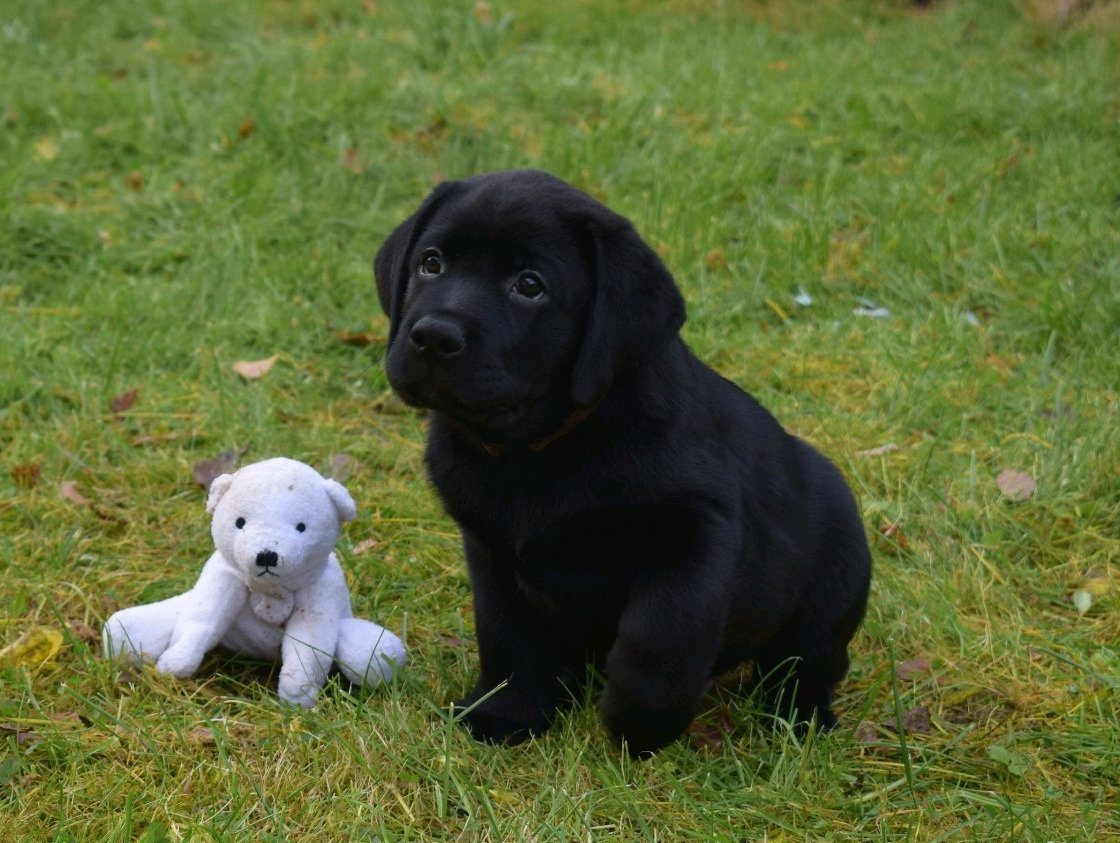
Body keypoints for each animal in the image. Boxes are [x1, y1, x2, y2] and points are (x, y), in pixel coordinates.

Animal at [371, 167, 869, 752]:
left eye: (530, 286)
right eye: (431, 262)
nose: (431, 335)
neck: (536, 452)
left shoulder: (693, 532)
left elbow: (660, 636)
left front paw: (637, 723)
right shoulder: (490, 549)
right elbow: (506, 633)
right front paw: (507, 713)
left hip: (833, 583)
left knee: (807, 662)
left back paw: (800, 717)